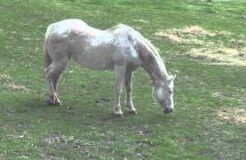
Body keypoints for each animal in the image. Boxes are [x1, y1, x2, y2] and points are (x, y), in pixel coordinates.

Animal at [43, 18, 175, 115]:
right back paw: (53, 98)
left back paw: (55, 100)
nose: (170, 110)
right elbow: (118, 89)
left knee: (55, 78)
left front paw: (131, 108)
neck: (134, 44)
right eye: (170, 91)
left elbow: (129, 89)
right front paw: (118, 111)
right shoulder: (120, 68)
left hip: (60, 63)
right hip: (60, 61)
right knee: (48, 75)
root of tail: (52, 28)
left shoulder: (129, 71)